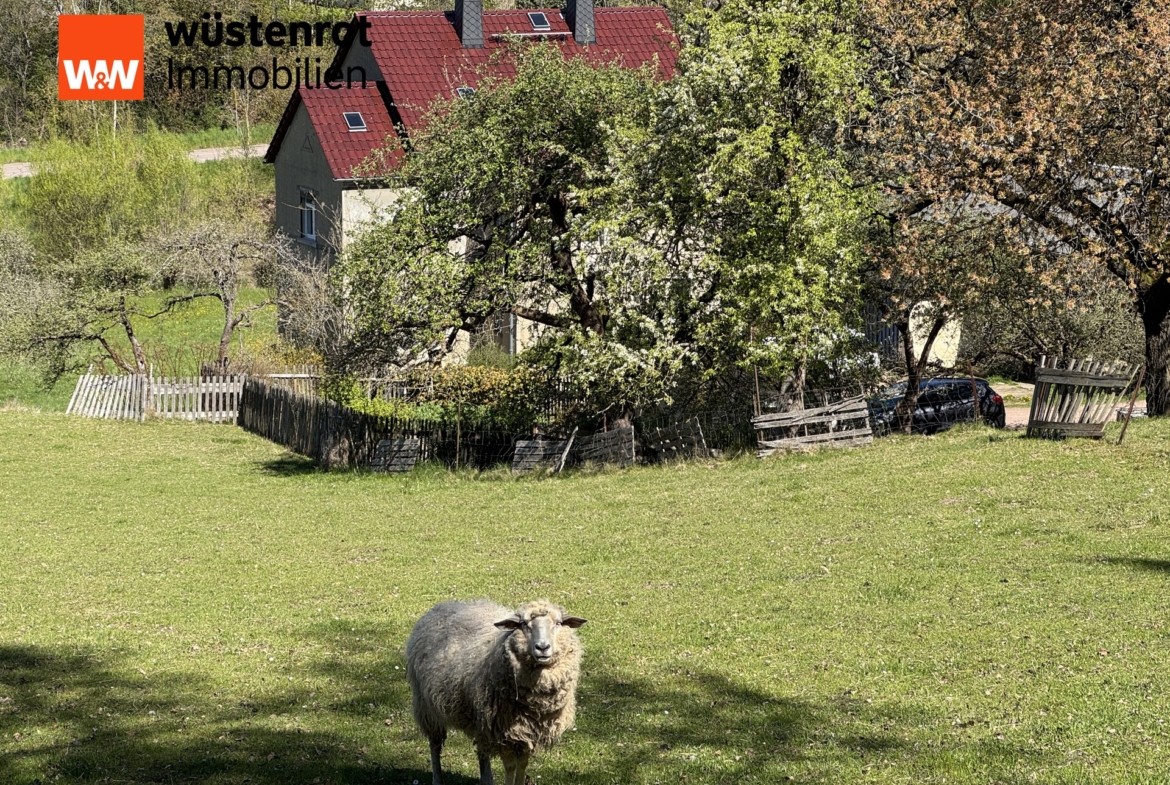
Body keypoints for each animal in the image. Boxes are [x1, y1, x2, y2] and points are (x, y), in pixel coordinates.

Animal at [405, 599, 588, 785]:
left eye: (558, 623)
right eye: (523, 624)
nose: (542, 647)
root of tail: (443, 605)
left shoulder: (526, 732)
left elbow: (522, 764)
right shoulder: (504, 733)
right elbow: (510, 766)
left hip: (478, 720)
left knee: (481, 751)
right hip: (427, 707)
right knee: (435, 744)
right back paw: (437, 779)